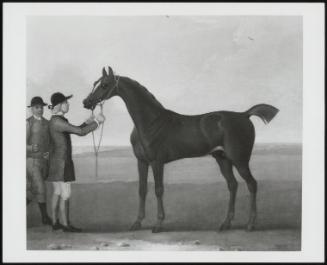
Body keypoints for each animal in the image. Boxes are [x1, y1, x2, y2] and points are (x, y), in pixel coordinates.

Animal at [84, 66, 280, 231]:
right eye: (95, 83)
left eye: (104, 85)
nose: (86, 102)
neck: (150, 122)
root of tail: (244, 115)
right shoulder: (141, 162)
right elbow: (142, 190)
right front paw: (137, 223)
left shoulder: (157, 162)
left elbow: (158, 189)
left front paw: (158, 224)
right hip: (223, 159)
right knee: (233, 185)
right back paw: (225, 223)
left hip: (239, 160)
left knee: (252, 184)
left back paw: (250, 224)